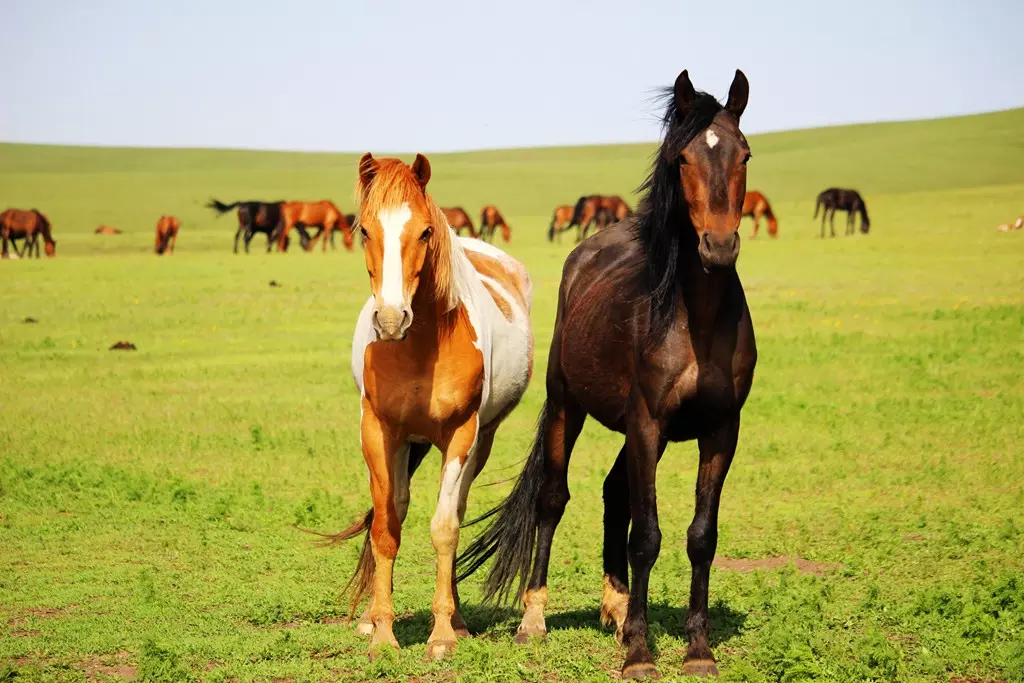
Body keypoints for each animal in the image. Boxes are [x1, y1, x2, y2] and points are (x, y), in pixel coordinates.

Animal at [315, 156, 532, 663]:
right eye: (364, 229)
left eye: (426, 231)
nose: (391, 319)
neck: (417, 348)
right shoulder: (378, 431)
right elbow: (385, 527)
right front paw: (382, 632)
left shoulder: (461, 434)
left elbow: (445, 528)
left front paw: (443, 634)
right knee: (398, 506)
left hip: (480, 442)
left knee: (456, 509)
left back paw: (459, 620)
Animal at [460, 68, 757, 679]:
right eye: (682, 158)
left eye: (744, 154)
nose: (718, 246)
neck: (697, 318)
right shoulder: (646, 422)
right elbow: (646, 535)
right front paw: (641, 653)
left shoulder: (721, 430)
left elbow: (701, 536)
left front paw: (697, 649)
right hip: (569, 406)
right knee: (554, 499)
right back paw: (535, 620)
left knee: (613, 492)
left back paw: (617, 611)